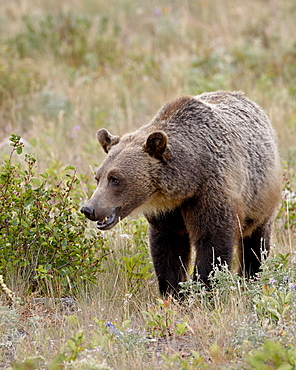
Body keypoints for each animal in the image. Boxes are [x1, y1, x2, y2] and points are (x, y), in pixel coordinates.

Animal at [81, 92, 282, 298]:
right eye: (98, 177)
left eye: (115, 179)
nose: (89, 209)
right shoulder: (166, 211)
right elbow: (168, 250)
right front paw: (173, 292)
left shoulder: (211, 190)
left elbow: (212, 242)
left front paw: (203, 289)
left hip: (260, 194)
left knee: (255, 240)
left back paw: (250, 277)